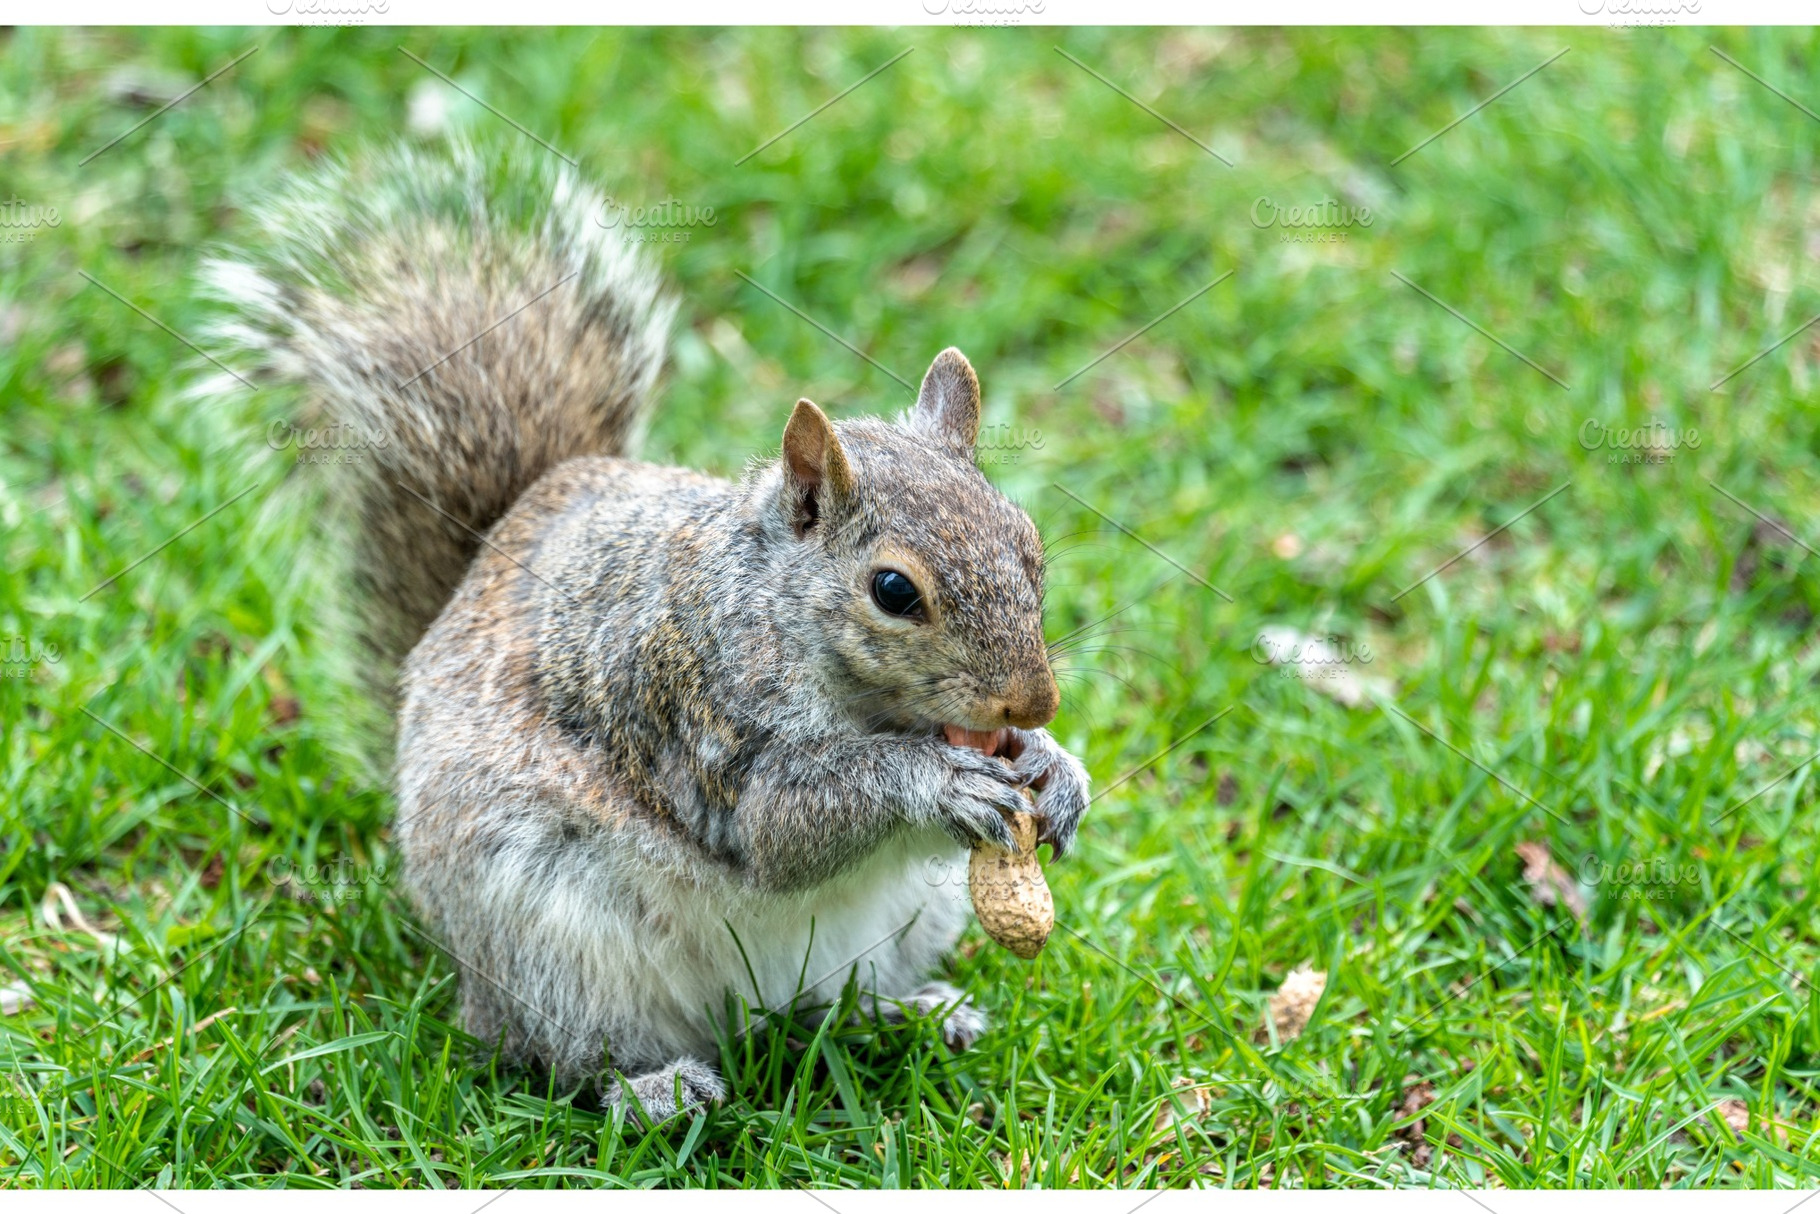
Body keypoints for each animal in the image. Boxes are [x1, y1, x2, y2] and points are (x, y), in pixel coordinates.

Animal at [207, 143, 1090, 1120]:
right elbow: (783, 826)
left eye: (1029, 543)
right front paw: (937, 782)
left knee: (832, 1005)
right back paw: (655, 1090)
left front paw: (1057, 768)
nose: (1033, 700)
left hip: (902, 923)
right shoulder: (696, 711)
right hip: (550, 935)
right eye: (893, 590)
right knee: (555, 1053)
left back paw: (913, 1014)